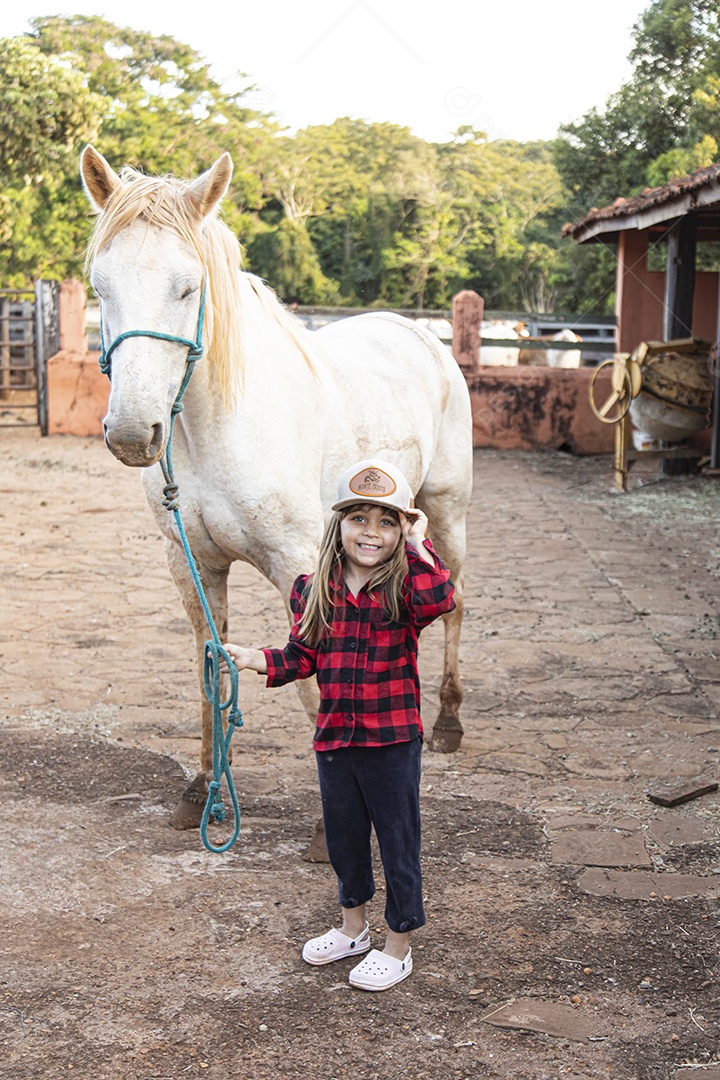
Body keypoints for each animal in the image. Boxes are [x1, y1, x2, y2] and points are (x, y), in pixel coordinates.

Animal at [80, 145, 473, 843]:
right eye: (100, 287)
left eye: (188, 286)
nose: (130, 432)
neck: (220, 427)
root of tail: (418, 332)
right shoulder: (191, 562)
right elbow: (212, 668)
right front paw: (203, 792)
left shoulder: (300, 562)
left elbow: (316, 686)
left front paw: (331, 829)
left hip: (449, 511)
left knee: (455, 605)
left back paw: (448, 722)